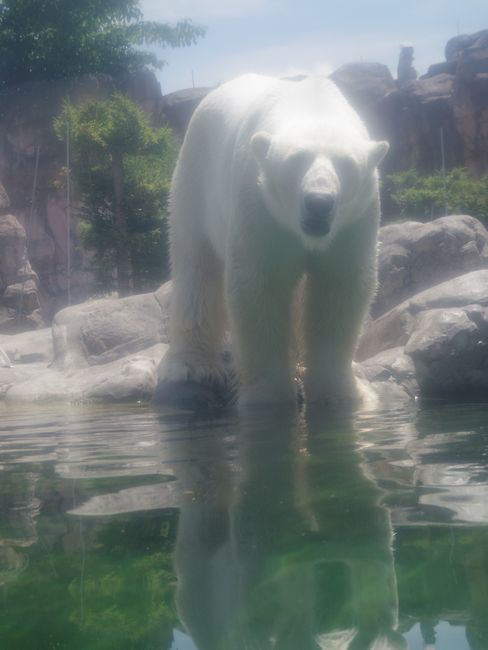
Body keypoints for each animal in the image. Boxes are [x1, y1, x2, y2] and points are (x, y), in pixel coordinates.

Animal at [159, 72, 388, 404]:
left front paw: (345, 393)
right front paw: (269, 396)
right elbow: (259, 287)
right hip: (194, 180)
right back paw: (192, 366)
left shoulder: (354, 220)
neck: (312, 103)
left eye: (346, 164)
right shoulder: (259, 204)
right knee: (196, 268)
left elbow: (339, 288)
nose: (319, 203)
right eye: (296, 160)